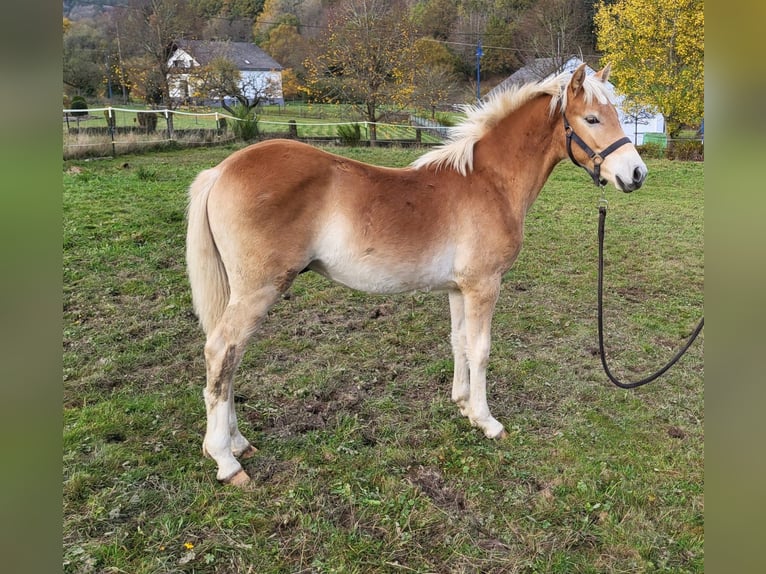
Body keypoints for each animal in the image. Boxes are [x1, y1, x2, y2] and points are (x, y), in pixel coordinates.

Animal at [186, 64, 648, 486]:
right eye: (593, 118)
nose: (636, 174)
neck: (490, 182)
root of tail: (220, 171)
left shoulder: (459, 289)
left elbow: (459, 343)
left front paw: (462, 404)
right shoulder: (484, 285)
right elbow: (481, 350)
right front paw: (487, 421)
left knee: (230, 361)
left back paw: (238, 443)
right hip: (257, 292)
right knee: (221, 354)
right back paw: (226, 460)